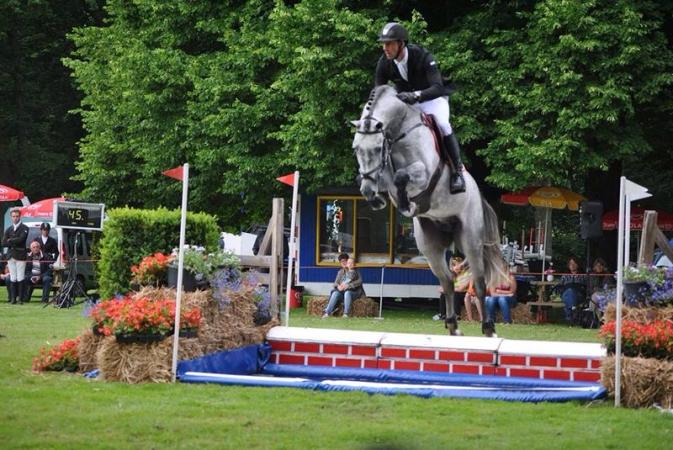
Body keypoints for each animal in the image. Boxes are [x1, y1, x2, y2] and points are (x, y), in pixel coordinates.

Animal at [351, 85, 507, 337]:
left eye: (376, 148)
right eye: (356, 149)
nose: (368, 190)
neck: (399, 131)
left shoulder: (423, 172)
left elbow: (402, 176)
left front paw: (407, 204)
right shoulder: (385, 178)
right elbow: (386, 181)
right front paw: (377, 198)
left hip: (470, 238)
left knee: (480, 282)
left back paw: (488, 328)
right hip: (430, 245)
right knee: (448, 280)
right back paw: (453, 326)